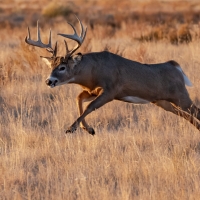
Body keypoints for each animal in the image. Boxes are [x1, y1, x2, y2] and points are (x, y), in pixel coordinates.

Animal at [25, 15, 200, 134]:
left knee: (195, 111)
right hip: (162, 101)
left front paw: (71, 128)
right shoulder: (92, 90)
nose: (49, 81)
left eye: (62, 67)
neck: (93, 71)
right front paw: (88, 129)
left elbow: (90, 106)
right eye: (51, 66)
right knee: (189, 117)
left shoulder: (111, 90)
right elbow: (79, 99)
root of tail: (175, 66)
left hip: (180, 95)